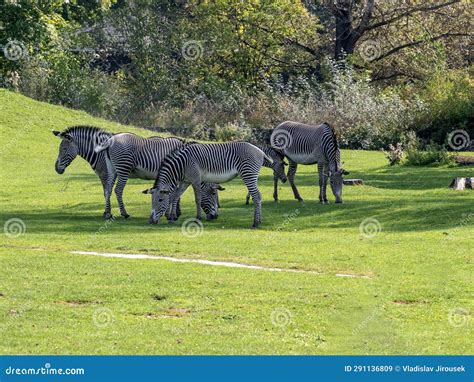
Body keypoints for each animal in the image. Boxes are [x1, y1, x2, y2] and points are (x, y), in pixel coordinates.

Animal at [95, 133, 223, 219]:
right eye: (213, 193)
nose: (216, 216)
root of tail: (111, 139)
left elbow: (175, 194)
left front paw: (175, 212)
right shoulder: (174, 175)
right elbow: (174, 193)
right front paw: (172, 213)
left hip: (112, 169)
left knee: (108, 189)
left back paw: (107, 213)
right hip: (123, 168)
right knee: (118, 190)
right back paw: (124, 213)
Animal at [143, 142, 272, 228]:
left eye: (159, 200)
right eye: (152, 201)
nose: (150, 221)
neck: (182, 164)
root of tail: (260, 151)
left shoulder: (195, 180)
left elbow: (198, 199)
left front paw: (197, 218)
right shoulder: (186, 181)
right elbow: (175, 196)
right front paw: (171, 218)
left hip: (248, 173)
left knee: (256, 196)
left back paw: (255, 223)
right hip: (252, 175)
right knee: (258, 196)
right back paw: (259, 220)